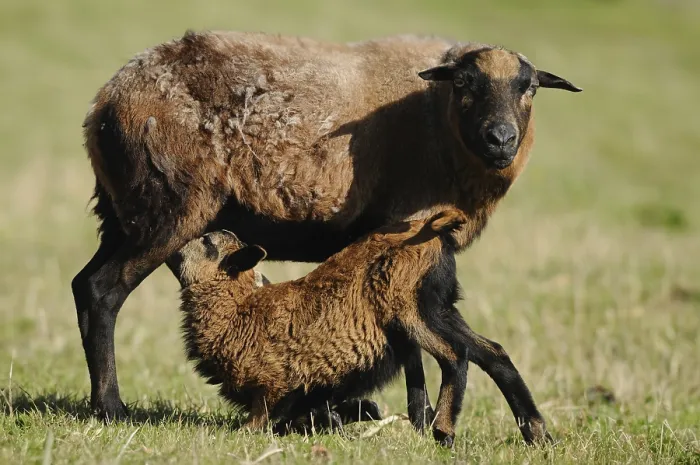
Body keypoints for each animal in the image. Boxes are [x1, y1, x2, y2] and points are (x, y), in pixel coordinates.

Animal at [72, 30, 582, 422]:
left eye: (529, 87)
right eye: (464, 83)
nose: (502, 139)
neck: (438, 117)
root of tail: (104, 104)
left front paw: (419, 420)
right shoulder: (399, 230)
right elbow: (411, 348)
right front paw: (420, 419)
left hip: (122, 214)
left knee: (81, 284)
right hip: (167, 209)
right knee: (103, 291)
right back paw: (112, 408)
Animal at [171, 209, 551, 447]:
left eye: (208, 243)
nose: (172, 249)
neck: (237, 314)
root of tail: (431, 227)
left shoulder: (272, 388)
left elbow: (258, 423)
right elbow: (316, 415)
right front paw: (359, 414)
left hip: (410, 309)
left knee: (456, 356)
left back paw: (443, 431)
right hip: (442, 308)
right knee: (493, 354)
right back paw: (537, 434)